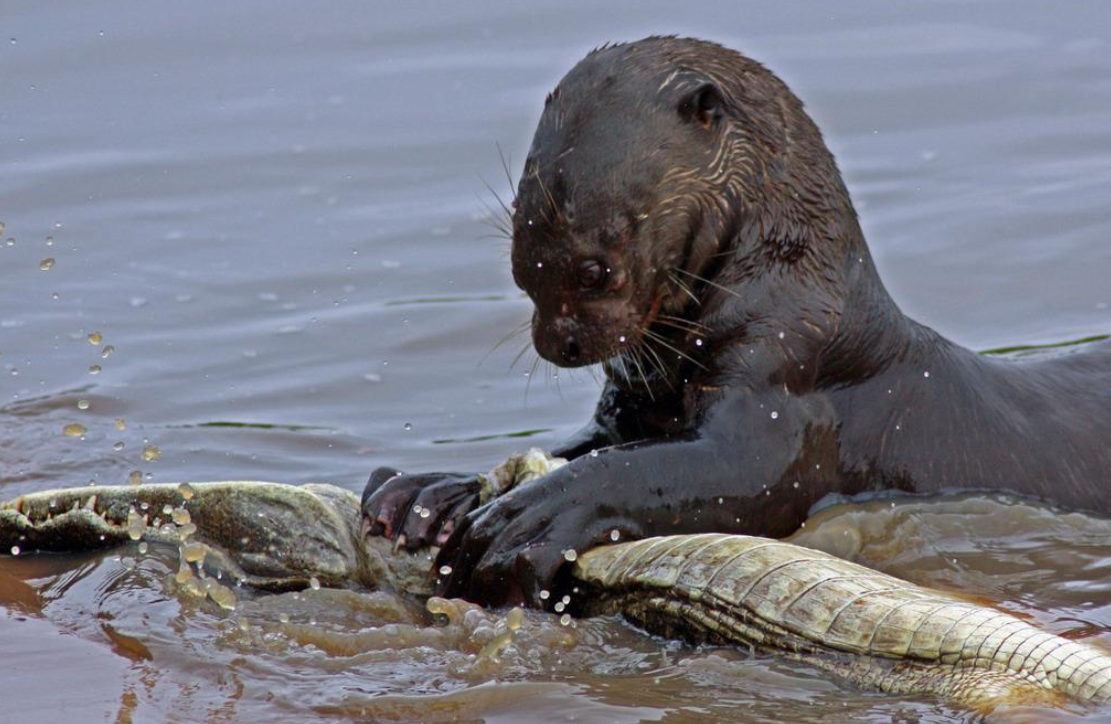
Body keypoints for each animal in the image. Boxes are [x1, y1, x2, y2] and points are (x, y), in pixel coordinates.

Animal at [362, 36, 1111, 608]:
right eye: (521, 265)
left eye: (597, 270)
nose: (558, 343)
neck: (790, 292)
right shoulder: (635, 407)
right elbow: (594, 445)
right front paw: (429, 493)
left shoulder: (785, 379)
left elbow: (709, 469)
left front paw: (523, 522)